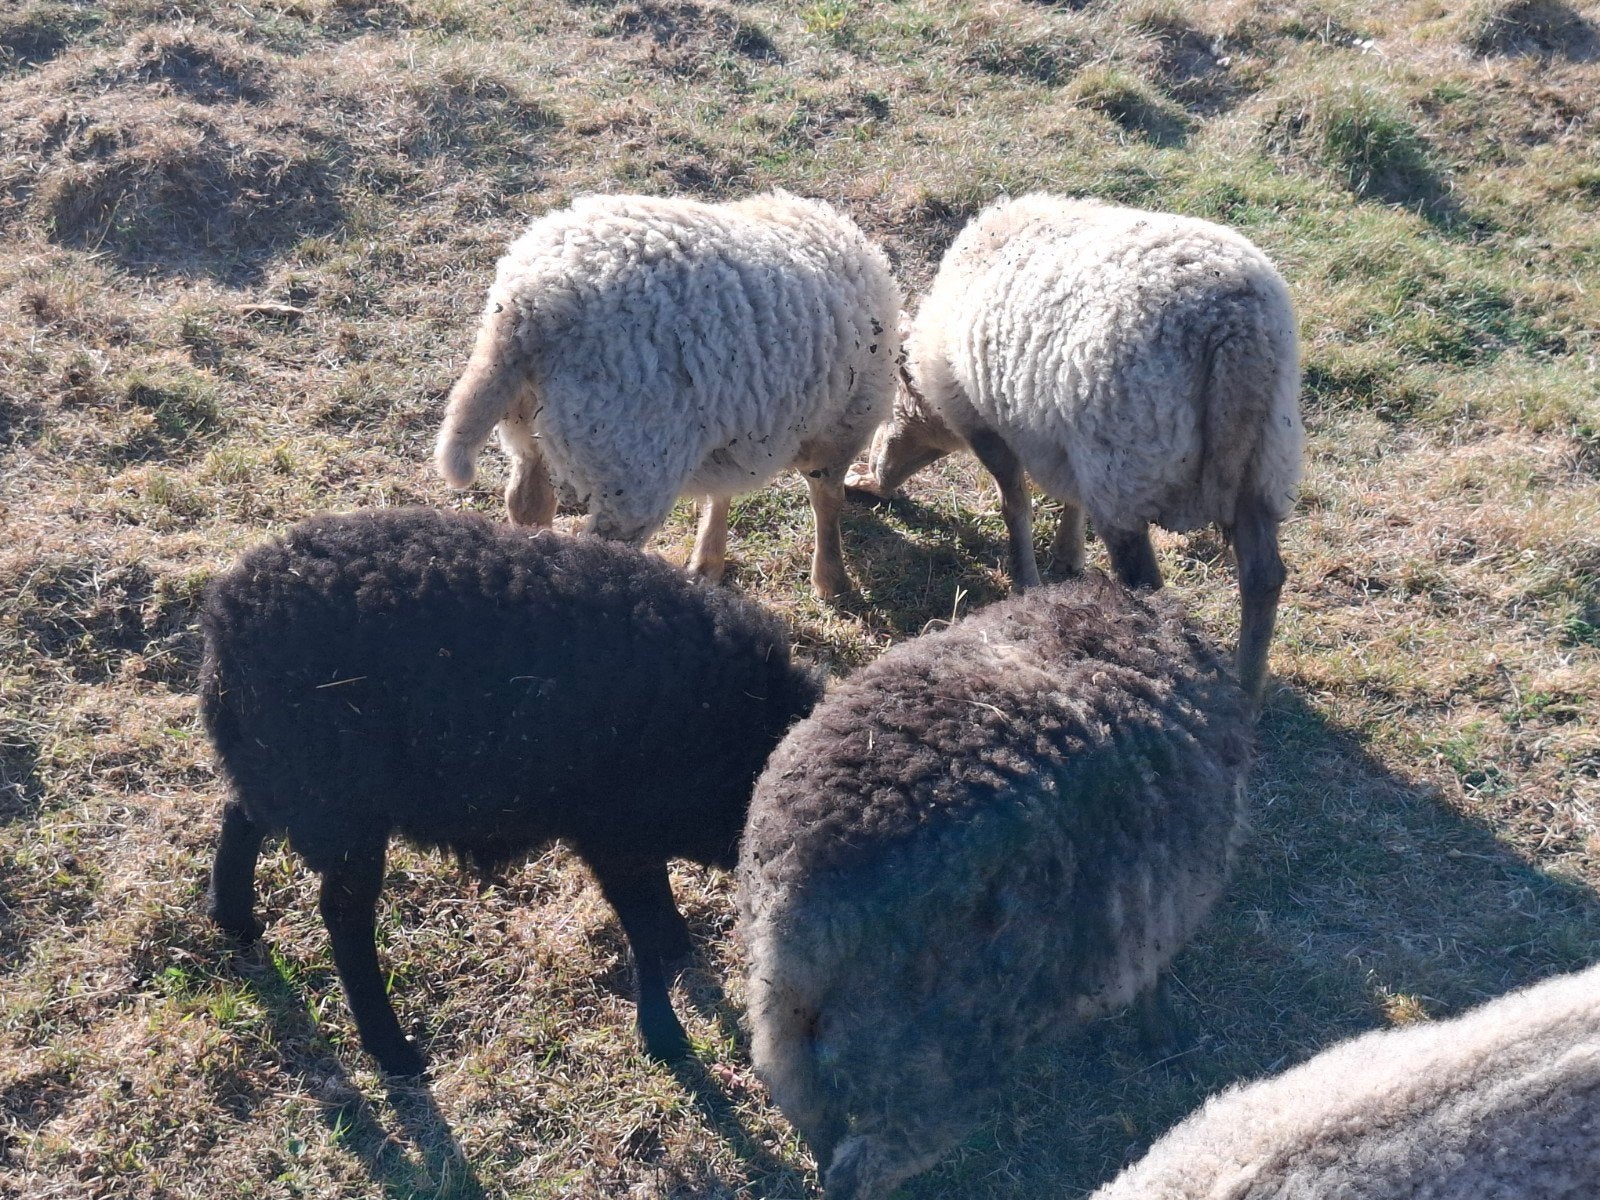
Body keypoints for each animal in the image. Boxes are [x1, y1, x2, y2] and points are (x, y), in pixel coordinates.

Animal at [201, 506, 821, 1077]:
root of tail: (227, 611)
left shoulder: (630, 831)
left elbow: (655, 914)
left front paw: (677, 958)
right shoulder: (612, 830)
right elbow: (642, 924)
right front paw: (665, 1036)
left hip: (278, 766)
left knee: (240, 814)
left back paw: (234, 920)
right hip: (341, 801)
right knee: (342, 911)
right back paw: (391, 1049)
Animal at [434, 190, 902, 600]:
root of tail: (527, 308)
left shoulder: (735, 425)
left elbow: (721, 493)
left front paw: (707, 562)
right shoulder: (841, 426)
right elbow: (828, 500)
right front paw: (831, 579)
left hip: (526, 423)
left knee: (527, 503)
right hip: (632, 466)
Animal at [737, 573, 1252, 1200]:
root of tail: (801, 906)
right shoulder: (1162, 906)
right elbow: (1155, 980)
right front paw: (1166, 1041)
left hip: (790, 1046)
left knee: (819, 1129)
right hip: (931, 1070)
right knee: (862, 1167)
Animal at [845, 194, 1303, 712]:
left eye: (888, 412)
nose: (871, 477)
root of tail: (1234, 329)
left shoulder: (985, 420)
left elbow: (1015, 504)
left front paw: (1026, 582)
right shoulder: (1066, 440)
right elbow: (1070, 498)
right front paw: (1067, 559)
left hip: (1127, 461)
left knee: (1147, 586)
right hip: (1266, 462)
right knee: (1263, 578)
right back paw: (1248, 692)